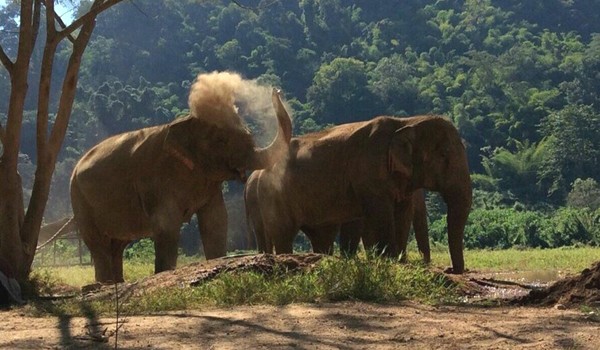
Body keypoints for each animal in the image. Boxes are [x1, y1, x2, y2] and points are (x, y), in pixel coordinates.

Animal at [69, 71, 292, 282]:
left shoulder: (208, 182)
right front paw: (163, 273)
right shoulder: (157, 181)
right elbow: (167, 225)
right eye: (222, 140)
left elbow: (216, 220)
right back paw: (104, 284)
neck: (185, 122)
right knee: (98, 244)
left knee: (116, 245)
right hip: (79, 200)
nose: (276, 90)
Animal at [245, 115, 474, 274]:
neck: (407, 122)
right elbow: (382, 216)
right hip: (273, 194)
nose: (452, 270)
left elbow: (402, 215)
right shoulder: (369, 173)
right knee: (283, 233)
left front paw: (399, 262)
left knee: (321, 236)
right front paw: (388, 261)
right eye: (444, 155)